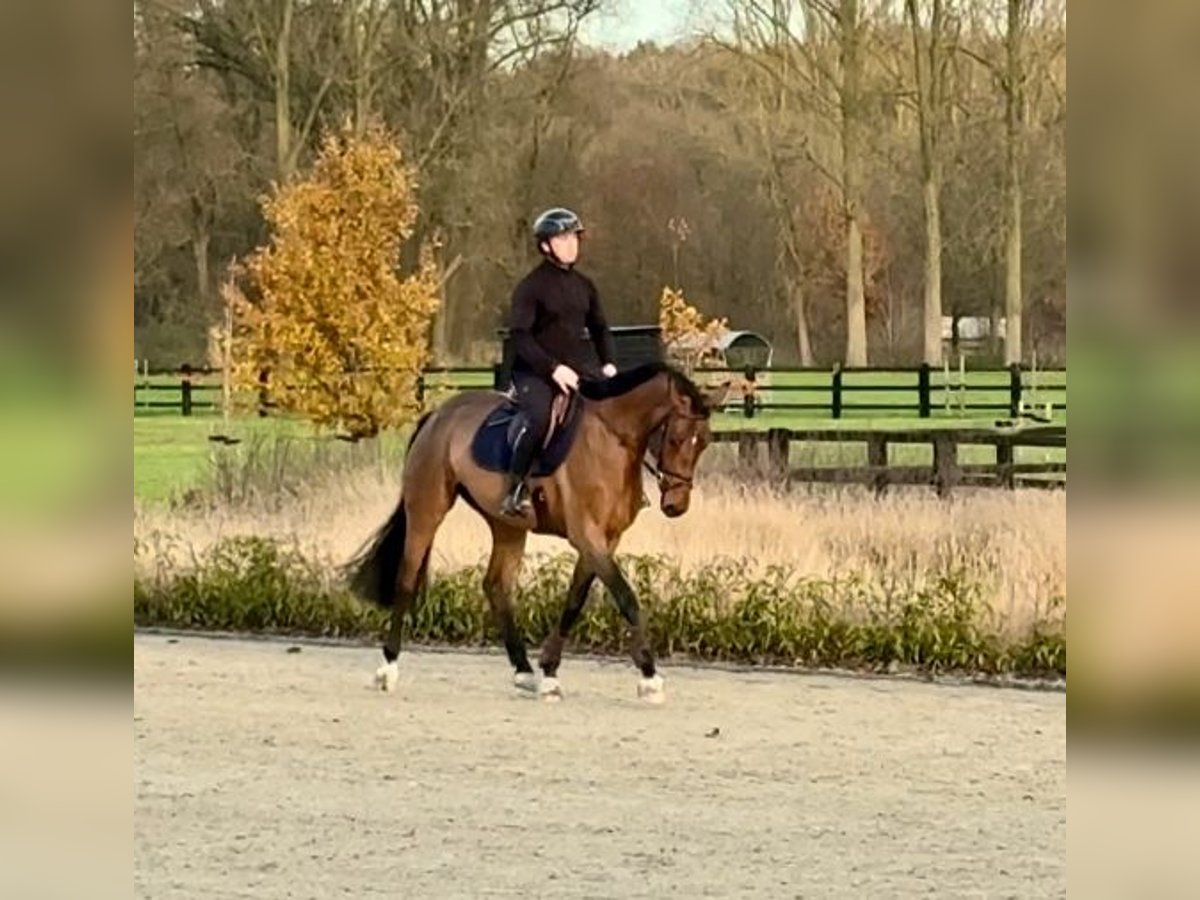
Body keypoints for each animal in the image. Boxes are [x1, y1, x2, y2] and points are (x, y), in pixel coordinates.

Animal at [343, 360, 724, 705]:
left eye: (704, 442)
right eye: (676, 439)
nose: (676, 505)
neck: (612, 437)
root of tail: (437, 415)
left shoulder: (605, 540)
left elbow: (574, 601)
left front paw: (549, 672)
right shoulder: (588, 536)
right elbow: (626, 598)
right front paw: (649, 677)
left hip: (507, 525)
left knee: (496, 586)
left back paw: (523, 671)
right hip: (427, 511)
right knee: (406, 580)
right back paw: (387, 669)